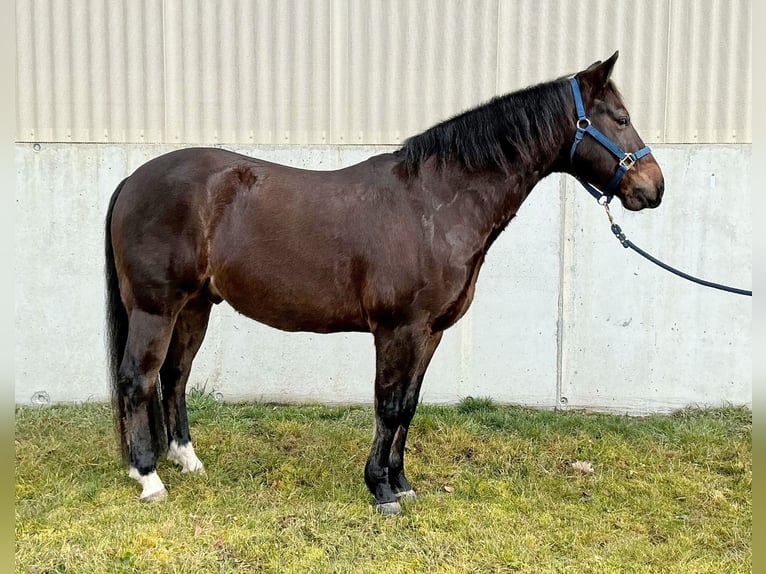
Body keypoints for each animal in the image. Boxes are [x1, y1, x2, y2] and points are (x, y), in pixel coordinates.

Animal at [105, 51, 663, 514]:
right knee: (137, 378)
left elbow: (408, 407)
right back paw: (149, 478)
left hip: (195, 305)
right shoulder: (400, 329)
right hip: (155, 309)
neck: (434, 202)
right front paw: (380, 489)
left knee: (174, 376)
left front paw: (402, 483)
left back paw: (186, 460)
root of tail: (132, 180)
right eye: (620, 119)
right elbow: (388, 405)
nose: (654, 188)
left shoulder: (430, 332)